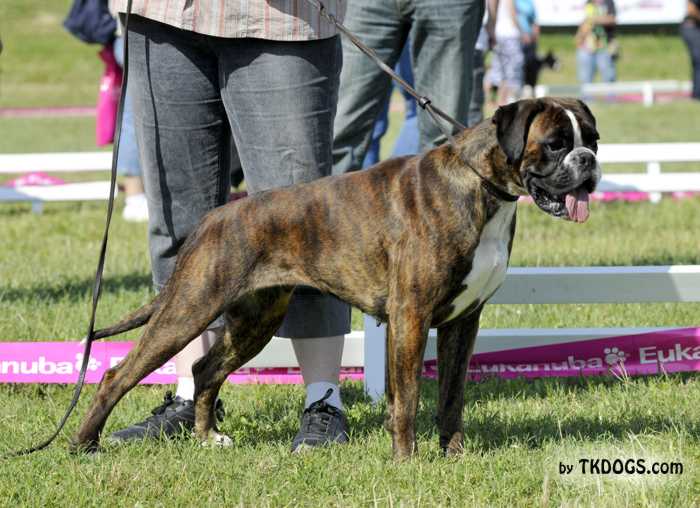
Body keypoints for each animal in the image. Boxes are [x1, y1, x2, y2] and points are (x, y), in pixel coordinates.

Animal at [72, 97, 600, 458]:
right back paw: (85, 444)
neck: (481, 184)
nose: (590, 161)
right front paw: (407, 462)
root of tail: (214, 217)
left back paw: (208, 438)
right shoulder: (411, 316)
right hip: (189, 309)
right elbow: (407, 397)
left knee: (205, 370)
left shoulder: (461, 322)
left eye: (592, 139)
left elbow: (452, 396)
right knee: (117, 375)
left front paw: (454, 455)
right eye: (555, 145)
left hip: (255, 321)